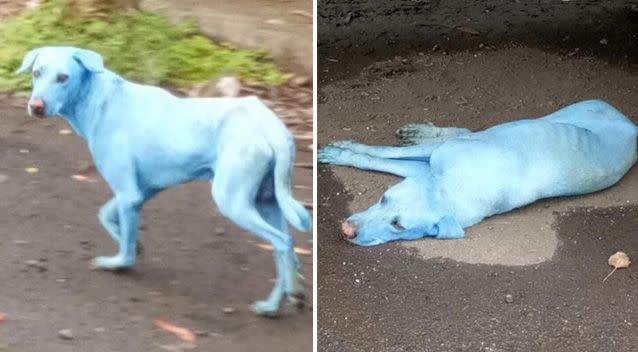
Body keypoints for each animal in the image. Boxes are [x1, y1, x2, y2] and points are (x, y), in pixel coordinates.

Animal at [17, 46, 312, 316]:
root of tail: (270, 126)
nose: (36, 107)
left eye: (63, 78)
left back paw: (280, 300)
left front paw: (119, 263)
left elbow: (125, 251)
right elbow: (106, 216)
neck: (101, 99)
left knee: (282, 243)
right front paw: (133, 243)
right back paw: (287, 297)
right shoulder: (141, 192)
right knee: (285, 248)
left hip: (233, 203)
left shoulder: (129, 195)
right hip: (268, 203)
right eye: (37, 73)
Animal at [320, 100, 638, 246]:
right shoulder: (434, 163)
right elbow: (379, 154)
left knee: (464, 132)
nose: (346, 230)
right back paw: (419, 131)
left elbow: (379, 157)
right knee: (464, 130)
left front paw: (342, 152)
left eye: (398, 225)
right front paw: (343, 151)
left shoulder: (429, 169)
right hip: (552, 116)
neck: (450, 189)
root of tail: (631, 125)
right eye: (383, 198)